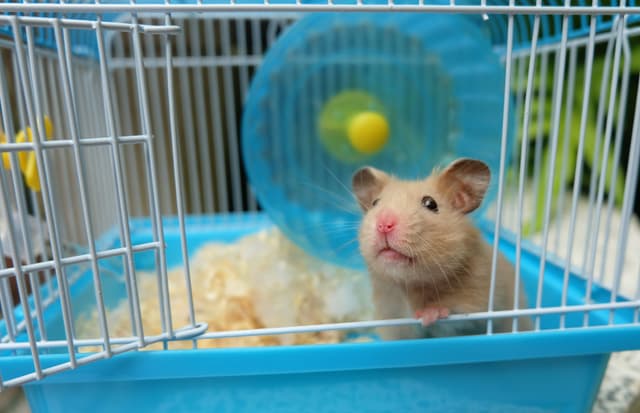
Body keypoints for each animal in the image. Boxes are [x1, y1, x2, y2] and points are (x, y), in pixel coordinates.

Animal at [350, 157, 528, 338]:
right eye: (375, 203)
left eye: (430, 203)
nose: (384, 224)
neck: (409, 287)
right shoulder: (393, 321)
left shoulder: (478, 307)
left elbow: (454, 316)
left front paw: (428, 315)